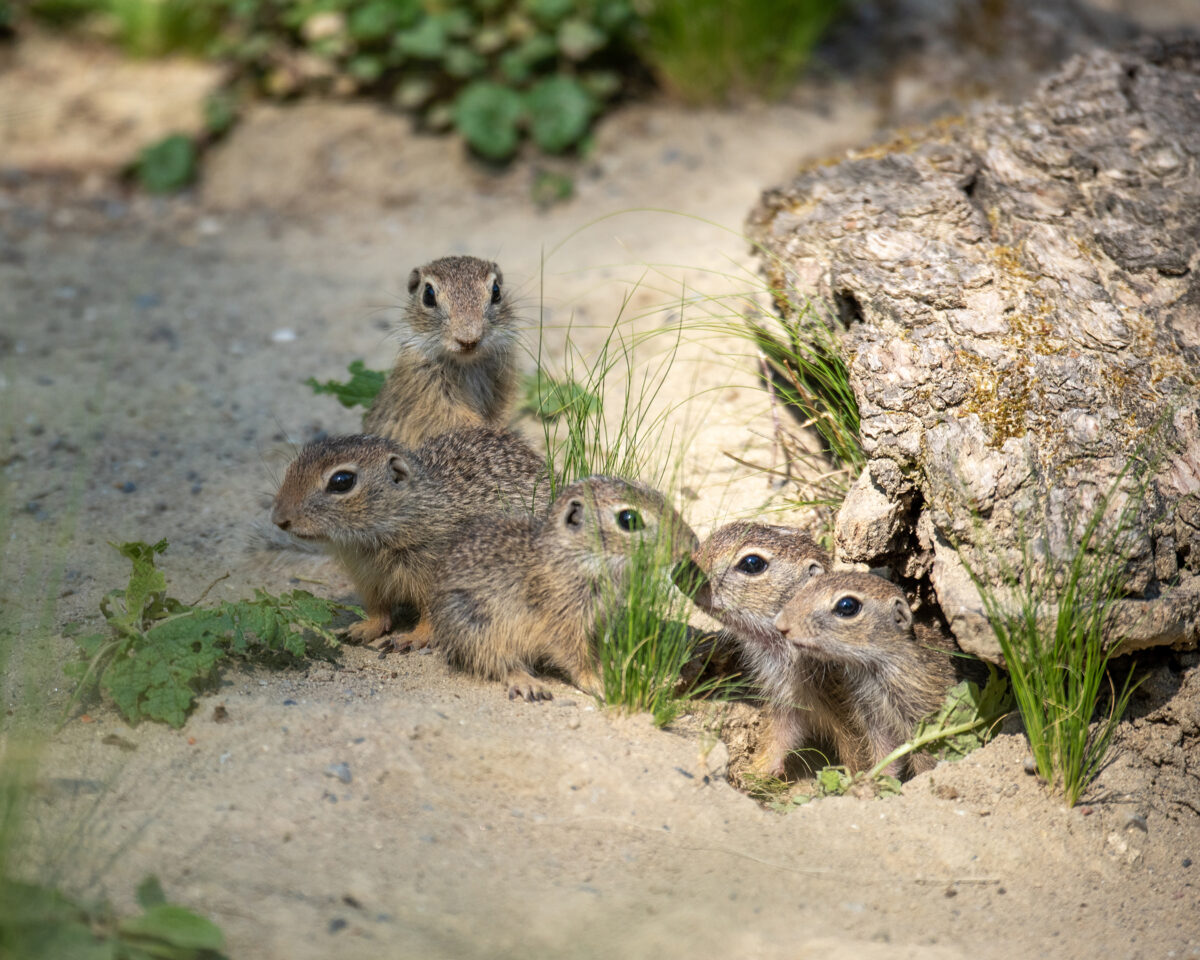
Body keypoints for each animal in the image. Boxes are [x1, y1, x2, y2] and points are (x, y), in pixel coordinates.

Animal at [270, 429, 547, 648]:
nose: (279, 519)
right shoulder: (367, 578)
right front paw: (363, 629)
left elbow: (431, 613)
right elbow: (377, 608)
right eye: (291, 467)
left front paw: (416, 637)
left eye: (342, 481)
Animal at [360, 254, 520, 451]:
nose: (468, 340)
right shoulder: (429, 391)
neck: (467, 363)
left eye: (496, 291)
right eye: (428, 295)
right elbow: (453, 417)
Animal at [432, 475, 700, 700]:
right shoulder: (565, 626)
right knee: (500, 665)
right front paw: (598, 684)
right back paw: (530, 684)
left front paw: (618, 669)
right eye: (629, 519)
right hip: (479, 628)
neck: (578, 557)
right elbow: (576, 659)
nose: (693, 542)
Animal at [772, 571, 960, 777]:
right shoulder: (876, 721)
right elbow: (886, 755)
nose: (781, 624)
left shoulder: (923, 719)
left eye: (847, 606)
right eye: (807, 585)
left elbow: (926, 758)